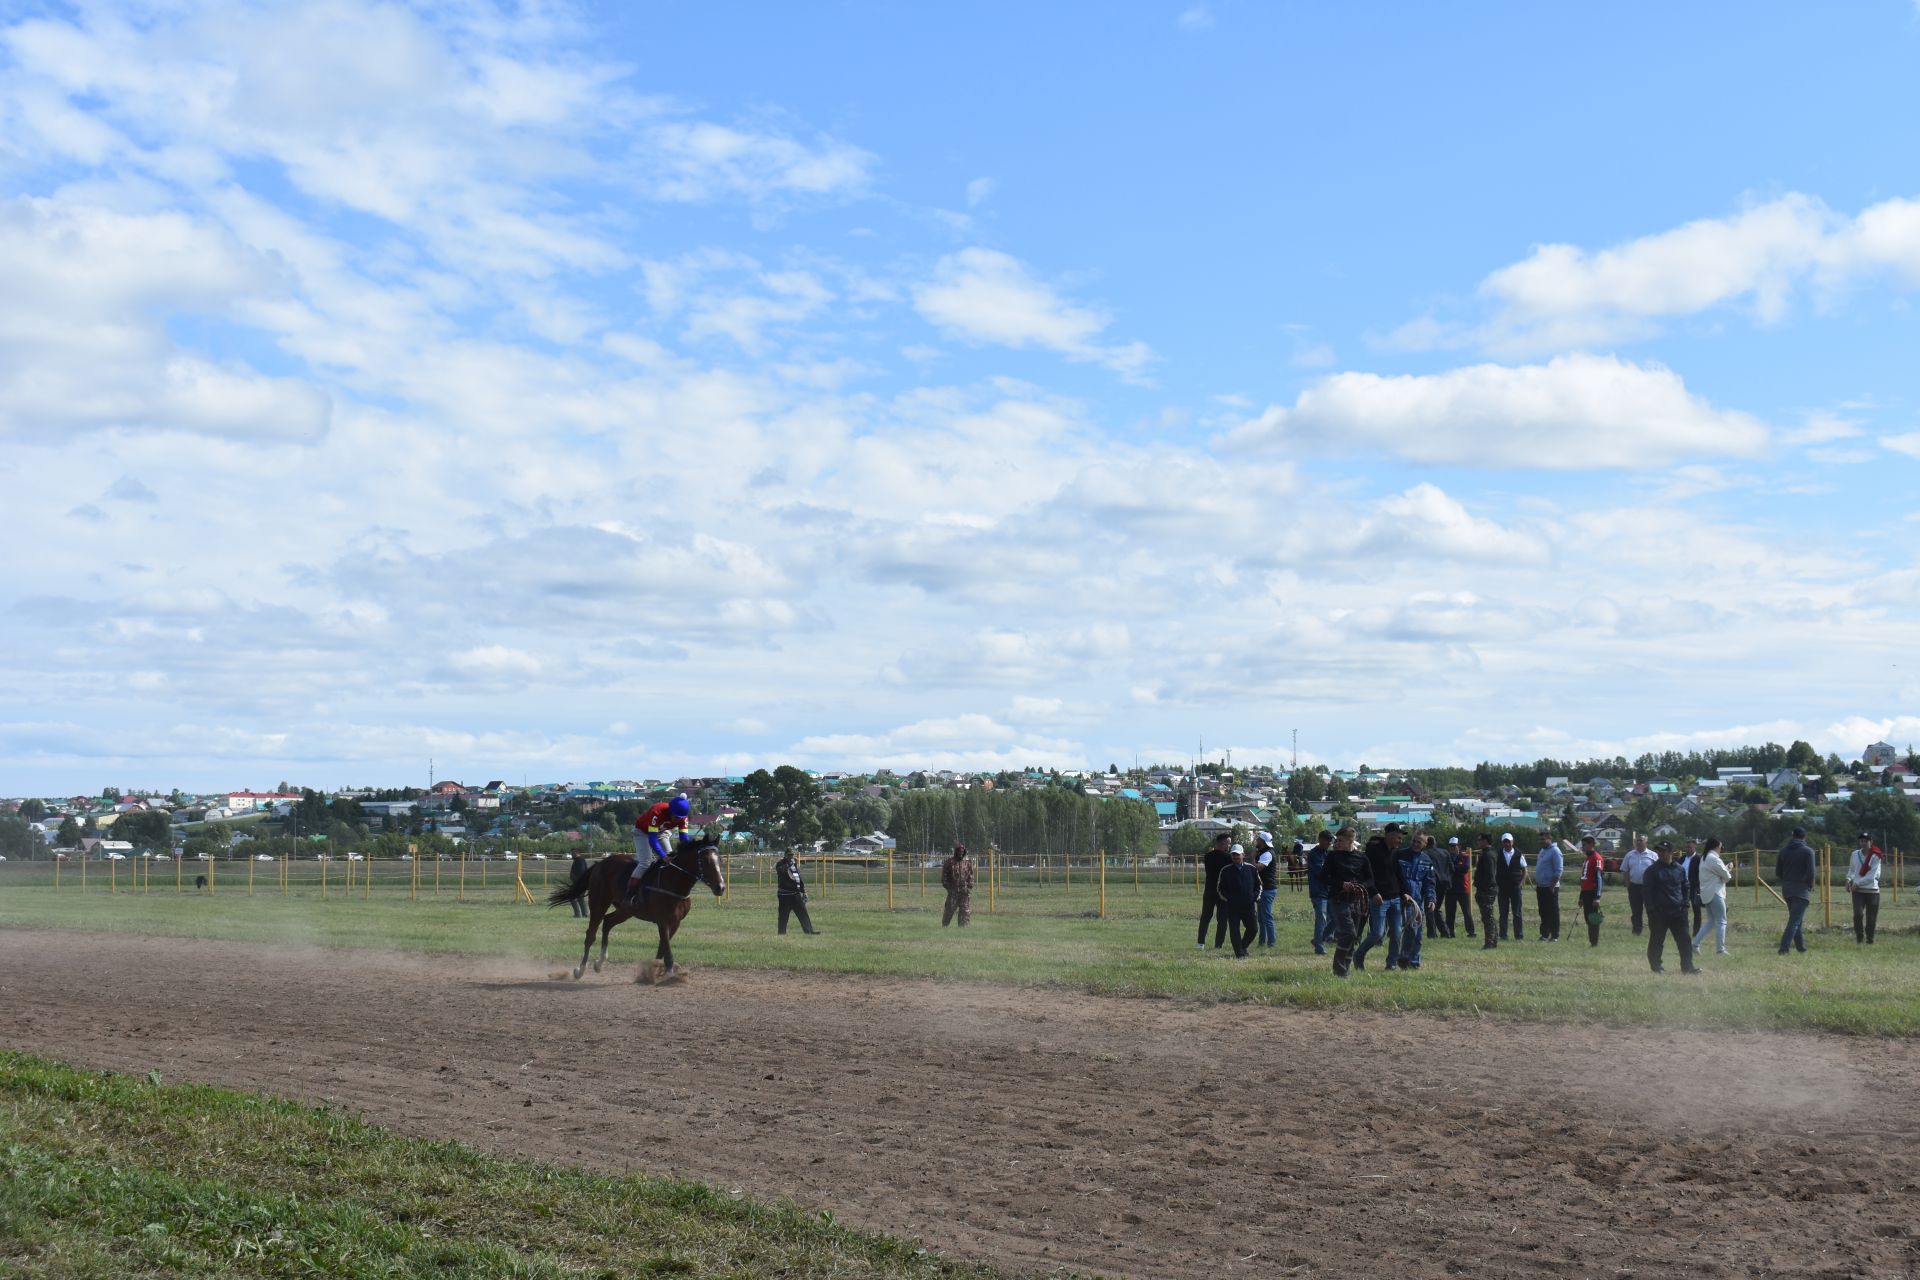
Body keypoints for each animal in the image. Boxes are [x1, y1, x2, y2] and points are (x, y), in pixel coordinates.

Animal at [549, 840, 725, 982]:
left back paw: (599, 963)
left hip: (626, 910)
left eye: (720, 860)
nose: (721, 887)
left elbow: (662, 948)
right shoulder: (663, 921)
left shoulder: (675, 923)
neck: (673, 881)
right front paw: (670, 975)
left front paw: (653, 972)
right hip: (599, 903)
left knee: (608, 922)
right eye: (706, 860)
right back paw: (580, 970)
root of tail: (600, 864)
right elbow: (667, 952)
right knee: (591, 935)